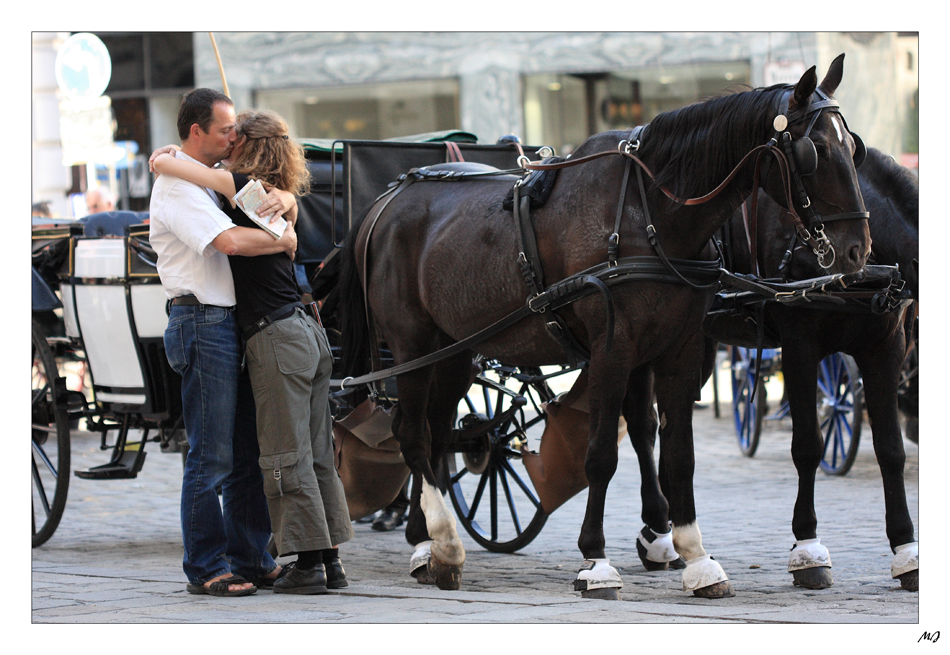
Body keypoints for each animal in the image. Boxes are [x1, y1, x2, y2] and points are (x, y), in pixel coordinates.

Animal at [338, 56, 872, 600]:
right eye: (815, 152)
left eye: (854, 149)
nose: (857, 249)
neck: (651, 214)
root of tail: (388, 201)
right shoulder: (613, 350)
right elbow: (601, 456)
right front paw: (595, 560)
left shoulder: (679, 351)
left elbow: (678, 454)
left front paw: (696, 557)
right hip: (412, 345)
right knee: (411, 434)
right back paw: (443, 544)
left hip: (456, 351)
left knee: (436, 434)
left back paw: (423, 539)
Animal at [700, 149, 924, 588]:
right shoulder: (800, 350)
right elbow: (808, 447)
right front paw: (808, 549)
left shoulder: (885, 352)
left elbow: (891, 451)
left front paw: (906, 550)